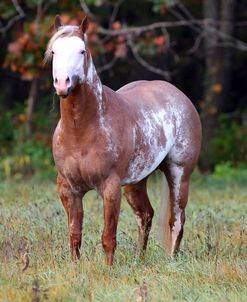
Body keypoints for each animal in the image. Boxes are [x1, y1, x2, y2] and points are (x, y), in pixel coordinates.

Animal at [45, 15, 202, 266]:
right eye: (54, 51)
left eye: (82, 50)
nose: (62, 83)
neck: (81, 131)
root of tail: (178, 95)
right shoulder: (69, 189)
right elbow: (74, 235)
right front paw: (74, 268)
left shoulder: (110, 188)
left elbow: (108, 237)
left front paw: (109, 270)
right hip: (135, 182)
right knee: (145, 215)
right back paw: (139, 260)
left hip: (179, 174)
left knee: (177, 220)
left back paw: (171, 262)